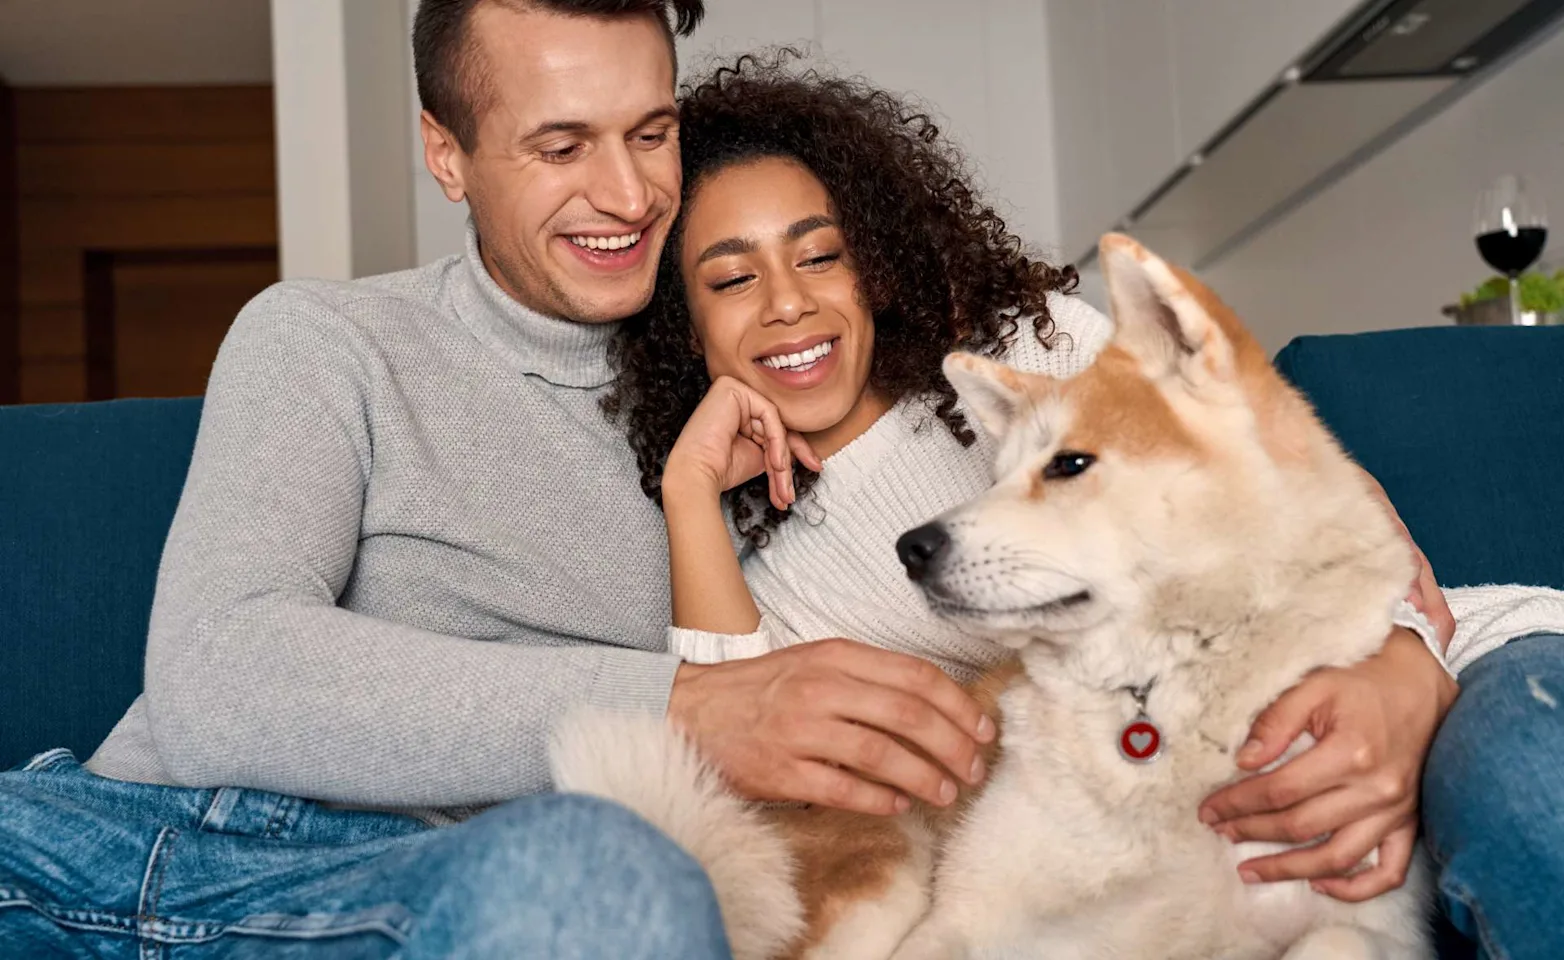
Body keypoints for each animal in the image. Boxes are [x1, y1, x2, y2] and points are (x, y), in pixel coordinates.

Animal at [547, 234, 1432, 960]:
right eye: (1001, 474)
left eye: (1069, 465)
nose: (910, 547)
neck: (1159, 703)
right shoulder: (967, 926)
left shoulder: (1362, 920)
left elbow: (1334, 940)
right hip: (882, 881)